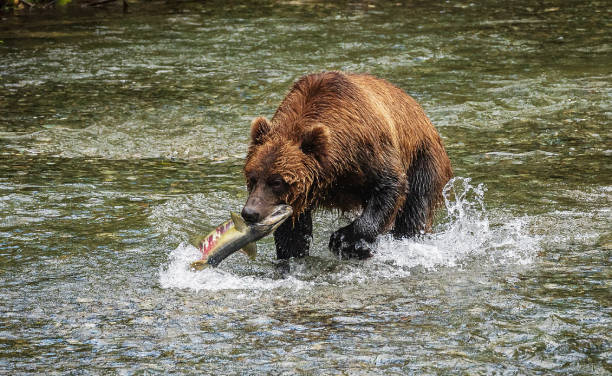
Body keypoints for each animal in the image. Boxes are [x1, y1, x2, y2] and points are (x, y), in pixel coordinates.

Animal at [241, 70, 452, 258]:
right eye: (252, 178)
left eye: (277, 181)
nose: (250, 212)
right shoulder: (299, 195)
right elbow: (293, 231)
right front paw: (292, 255)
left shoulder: (368, 150)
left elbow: (390, 186)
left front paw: (343, 240)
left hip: (423, 157)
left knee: (415, 208)